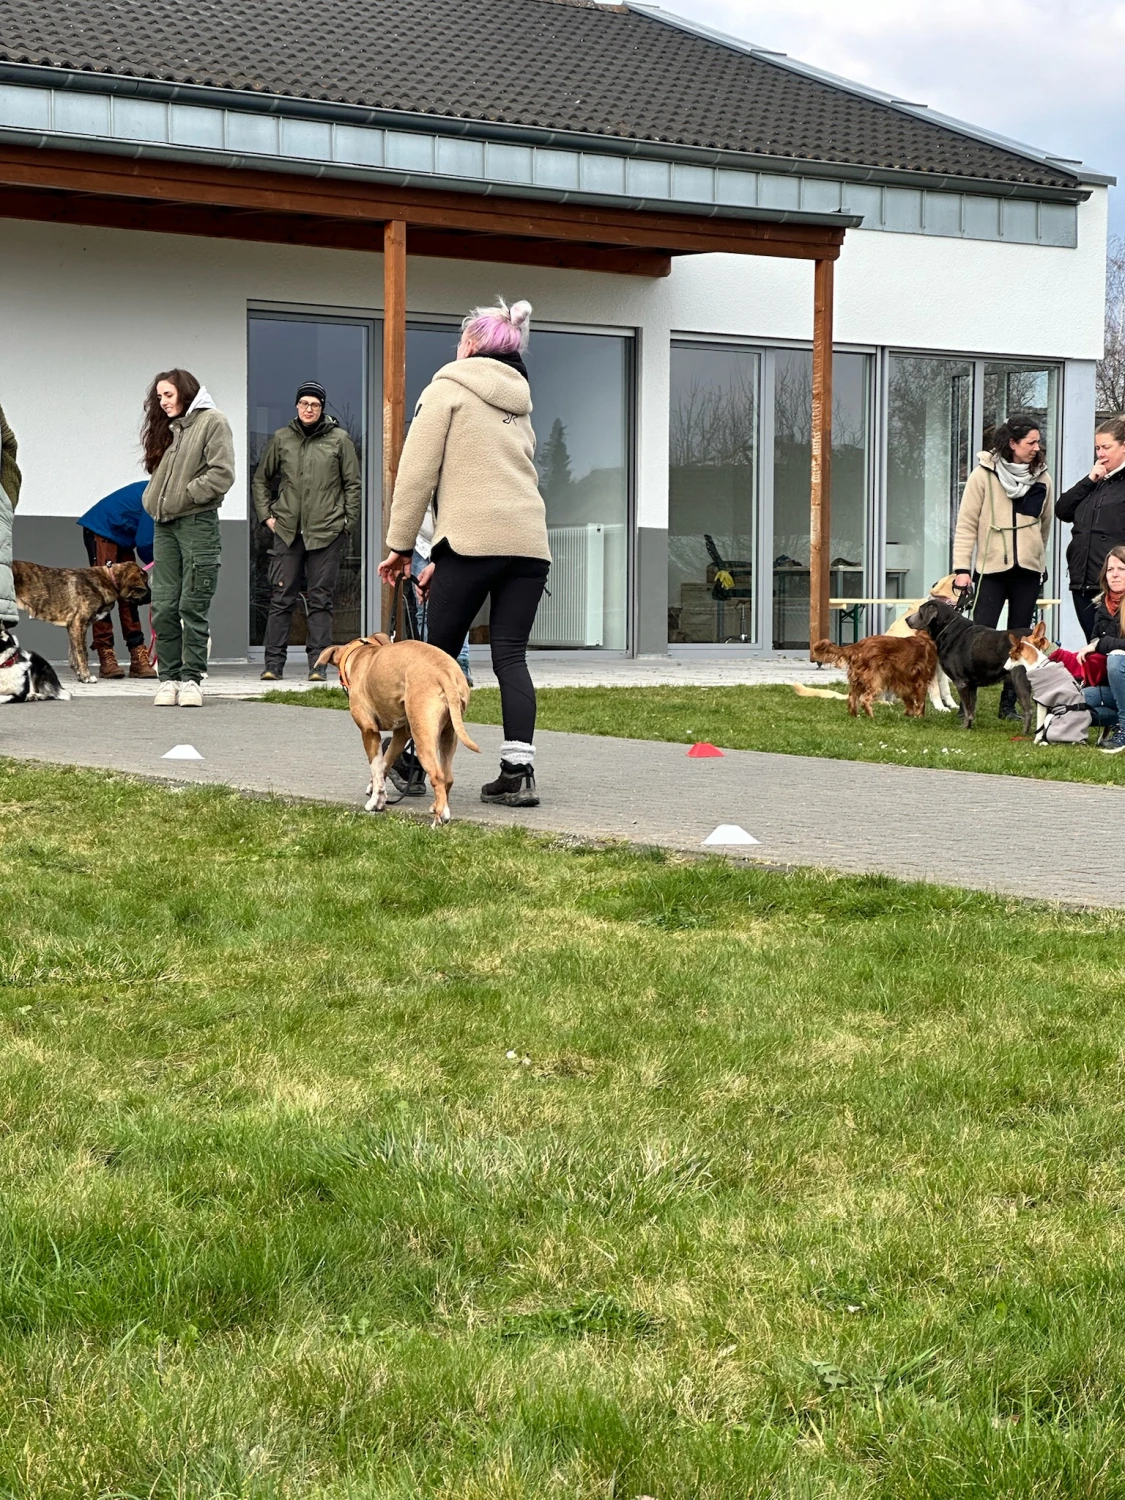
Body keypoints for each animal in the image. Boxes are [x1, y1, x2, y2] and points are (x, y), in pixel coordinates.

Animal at [13, 561, 150, 684]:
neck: (109, 580)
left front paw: (80, 675)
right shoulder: (78, 624)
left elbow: (75, 654)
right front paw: (86, 676)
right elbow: (82, 654)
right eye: (145, 582)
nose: (151, 598)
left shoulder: (74, 627)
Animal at [318, 630, 480, 828]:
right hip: (449, 734)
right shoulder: (400, 735)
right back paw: (441, 810)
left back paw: (437, 820)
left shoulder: (369, 732)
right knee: (448, 777)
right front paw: (378, 795)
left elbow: (376, 767)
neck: (361, 654)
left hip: (423, 736)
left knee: (437, 775)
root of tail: (444, 673)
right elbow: (384, 764)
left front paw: (374, 801)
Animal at [912, 600, 1038, 735]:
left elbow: (967, 709)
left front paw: (964, 727)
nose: (907, 619)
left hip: (1019, 680)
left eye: (920, 611)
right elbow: (971, 708)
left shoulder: (961, 683)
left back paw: (1024, 733)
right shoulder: (972, 685)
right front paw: (969, 726)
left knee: (1029, 710)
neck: (948, 630)